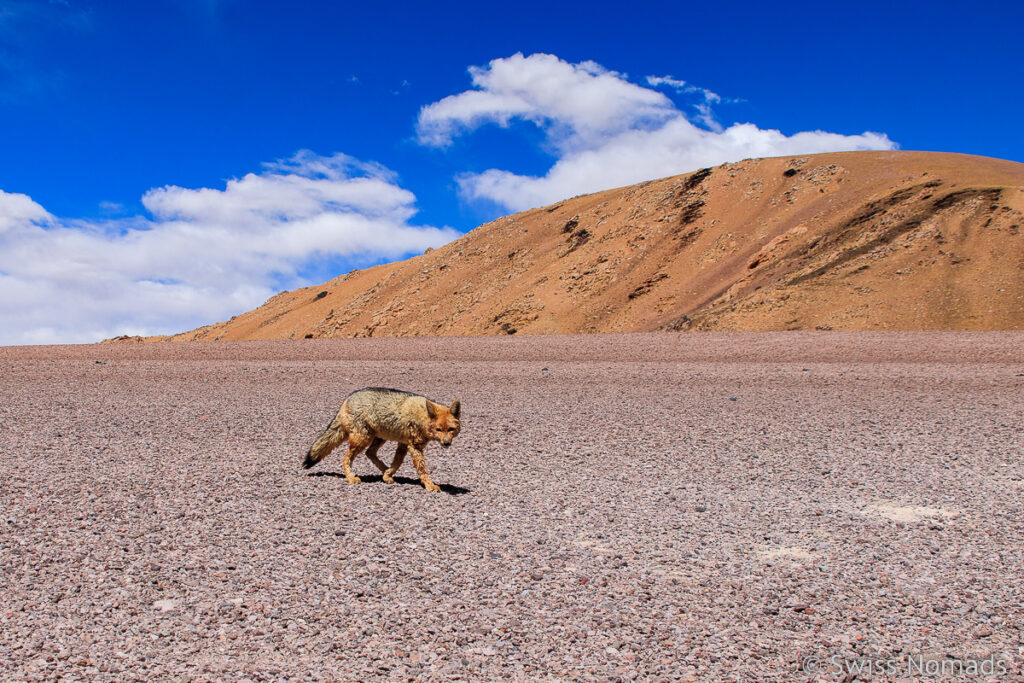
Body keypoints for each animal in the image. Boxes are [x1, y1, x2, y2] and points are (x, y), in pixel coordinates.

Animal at [301, 387, 462, 493]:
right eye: (439, 429)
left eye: (451, 429)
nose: (446, 443)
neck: (423, 415)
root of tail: (347, 399)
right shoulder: (414, 446)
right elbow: (422, 468)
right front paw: (429, 485)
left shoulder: (404, 444)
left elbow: (397, 462)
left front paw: (388, 474)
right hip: (362, 439)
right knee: (346, 457)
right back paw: (351, 477)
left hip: (378, 438)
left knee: (370, 453)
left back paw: (384, 470)